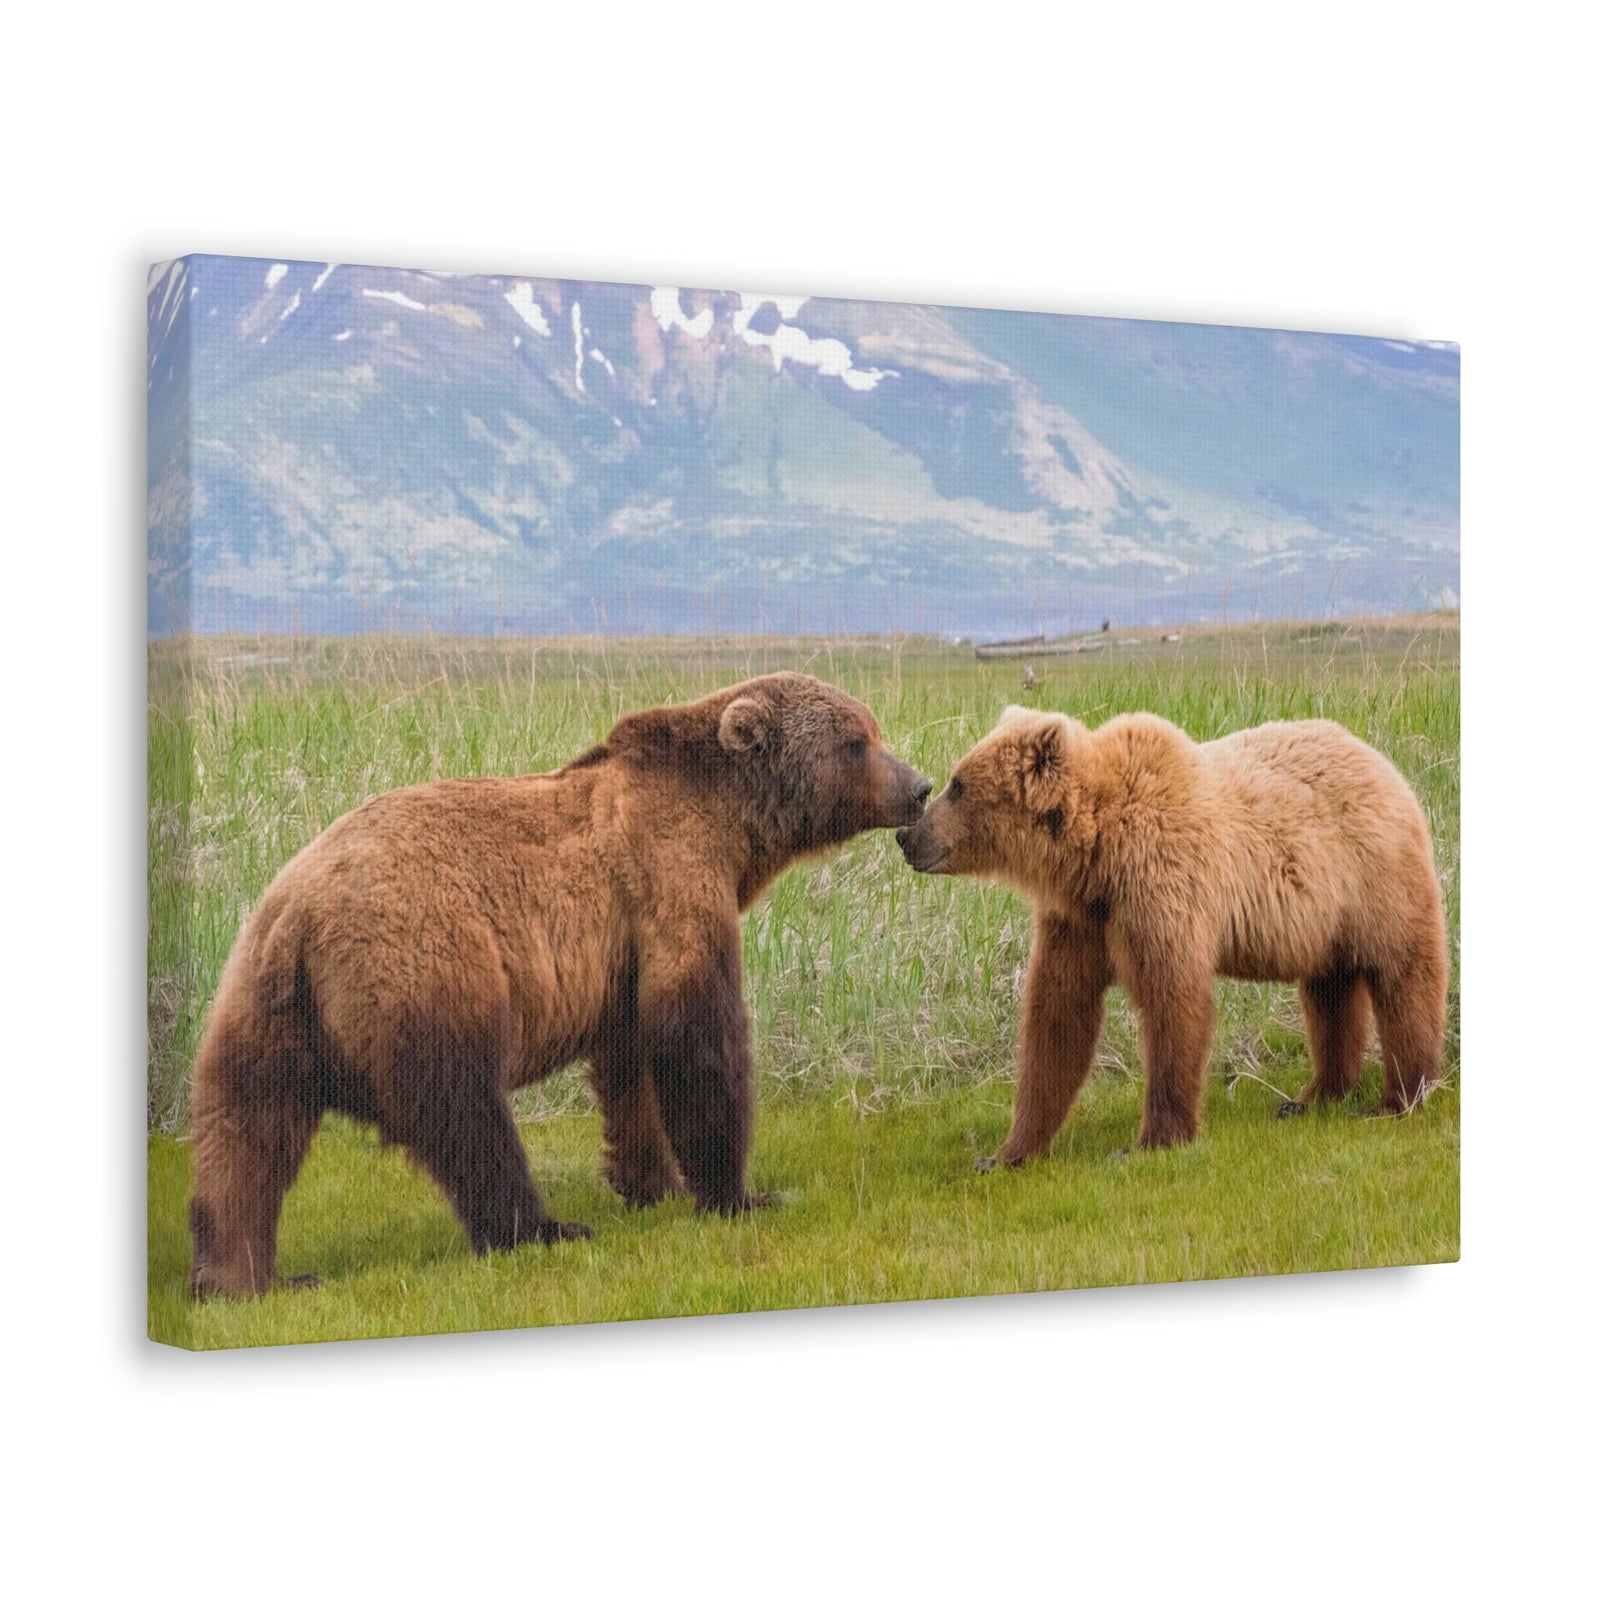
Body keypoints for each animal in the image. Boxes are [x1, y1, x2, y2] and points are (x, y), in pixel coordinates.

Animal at [188, 672, 931, 1297]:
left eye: (873, 729)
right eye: (857, 740)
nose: (920, 786)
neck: (731, 826)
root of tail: (300, 916)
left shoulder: (620, 954)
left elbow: (631, 1062)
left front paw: (651, 1181)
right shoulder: (670, 878)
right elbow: (695, 1034)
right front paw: (740, 1193)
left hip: (261, 1005)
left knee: (244, 1132)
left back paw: (243, 1276)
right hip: (421, 967)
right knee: (463, 1110)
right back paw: (542, 1229)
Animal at [895, 706, 1448, 1163]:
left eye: (958, 784)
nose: (907, 835)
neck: (1096, 852)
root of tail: (1383, 763)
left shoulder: (1160, 885)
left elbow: (1173, 1002)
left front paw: (1152, 1140)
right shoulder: (1082, 919)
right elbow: (1057, 1016)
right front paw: (1008, 1151)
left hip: (1375, 877)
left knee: (1403, 976)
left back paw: (1399, 1096)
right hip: (1322, 919)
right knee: (1330, 992)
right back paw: (1315, 1096)